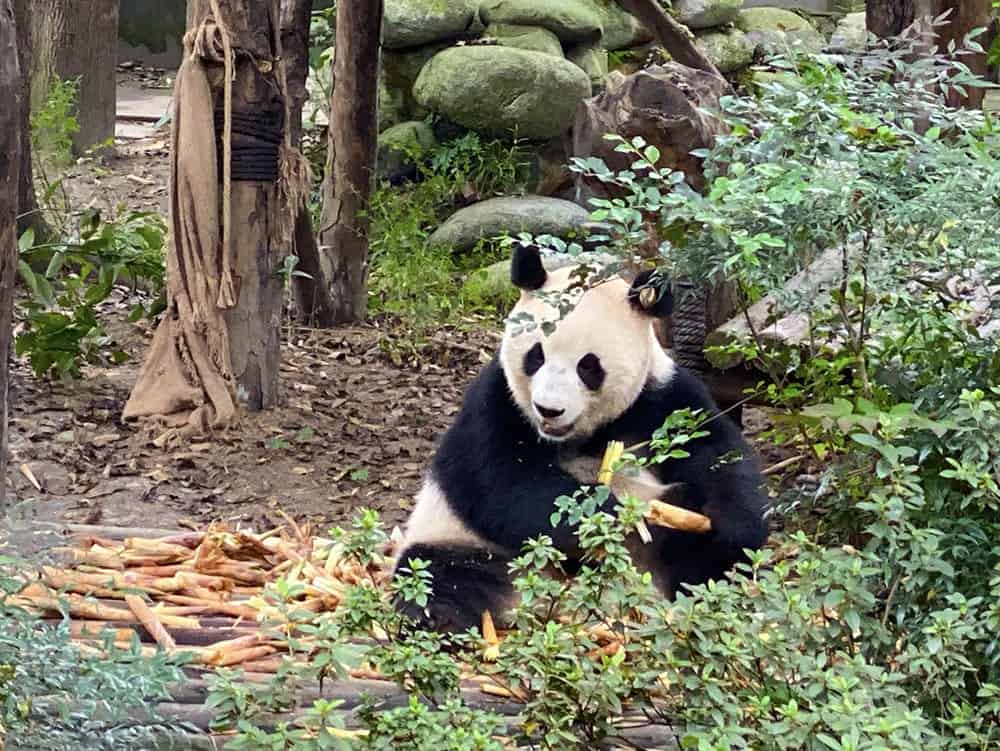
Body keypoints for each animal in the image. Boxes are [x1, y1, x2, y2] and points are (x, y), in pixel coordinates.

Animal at [394, 244, 768, 632]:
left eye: (588, 365)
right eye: (535, 355)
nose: (548, 409)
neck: (575, 435)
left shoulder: (663, 398)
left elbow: (717, 454)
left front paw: (731, 525)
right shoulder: (497, 403)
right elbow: (502, 484)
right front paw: (606, 517)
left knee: (692, 551)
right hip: (464, 544)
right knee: (441, 576)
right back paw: (438, 619)